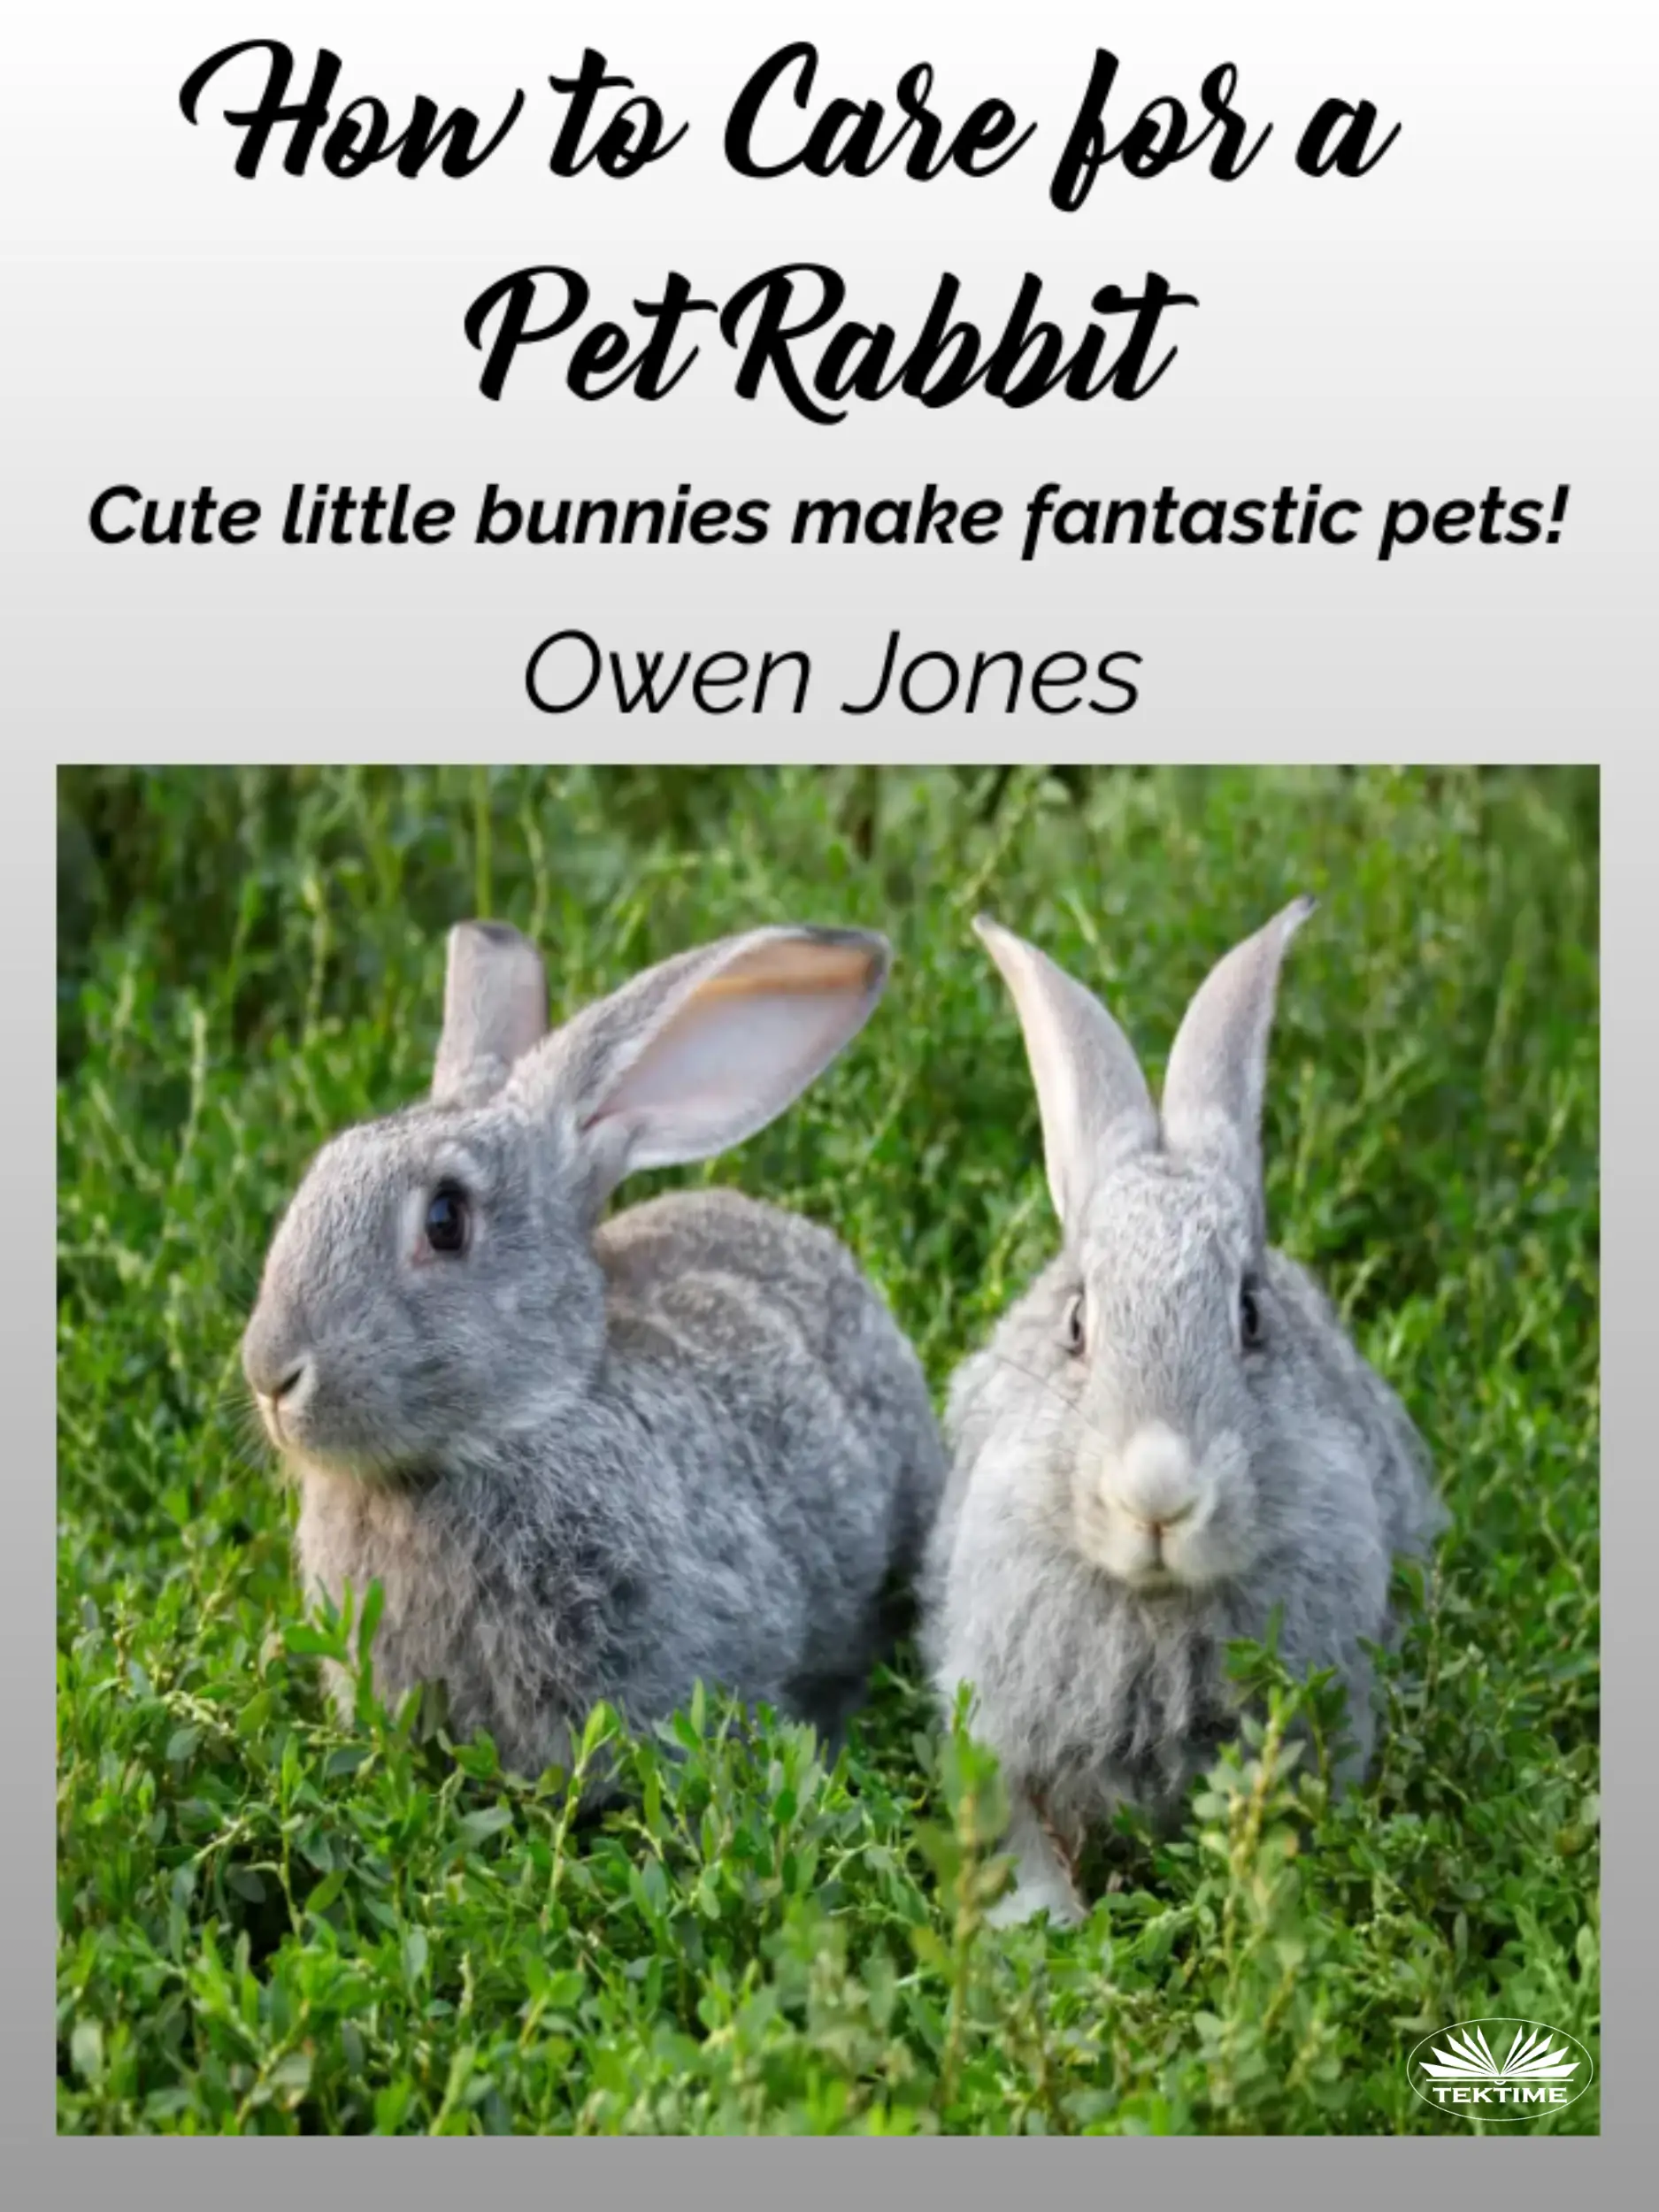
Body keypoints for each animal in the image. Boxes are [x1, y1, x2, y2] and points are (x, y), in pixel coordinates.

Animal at [920, 898, 1443, 1926]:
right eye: (1077, 1323)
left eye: (1249, 1315)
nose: (1157, 1494)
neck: (1154, 1604)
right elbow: (1016, 1838)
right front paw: (1045, 1925)